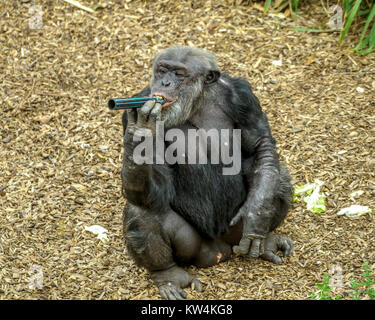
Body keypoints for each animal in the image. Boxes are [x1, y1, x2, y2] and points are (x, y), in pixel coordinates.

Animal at [120, 45, 294, 300]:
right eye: (162, 69)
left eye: (179, 74)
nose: (165, 82)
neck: (197, 101)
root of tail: (220, 251)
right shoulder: (132, 107)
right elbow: (157, 185)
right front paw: (140, 130)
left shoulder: (243, 97)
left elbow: (259, 145)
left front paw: (257, 215)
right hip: (192, 248)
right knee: (141, 210)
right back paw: (169, 275)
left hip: (235, 232)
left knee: (277, 179)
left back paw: (267, 241)